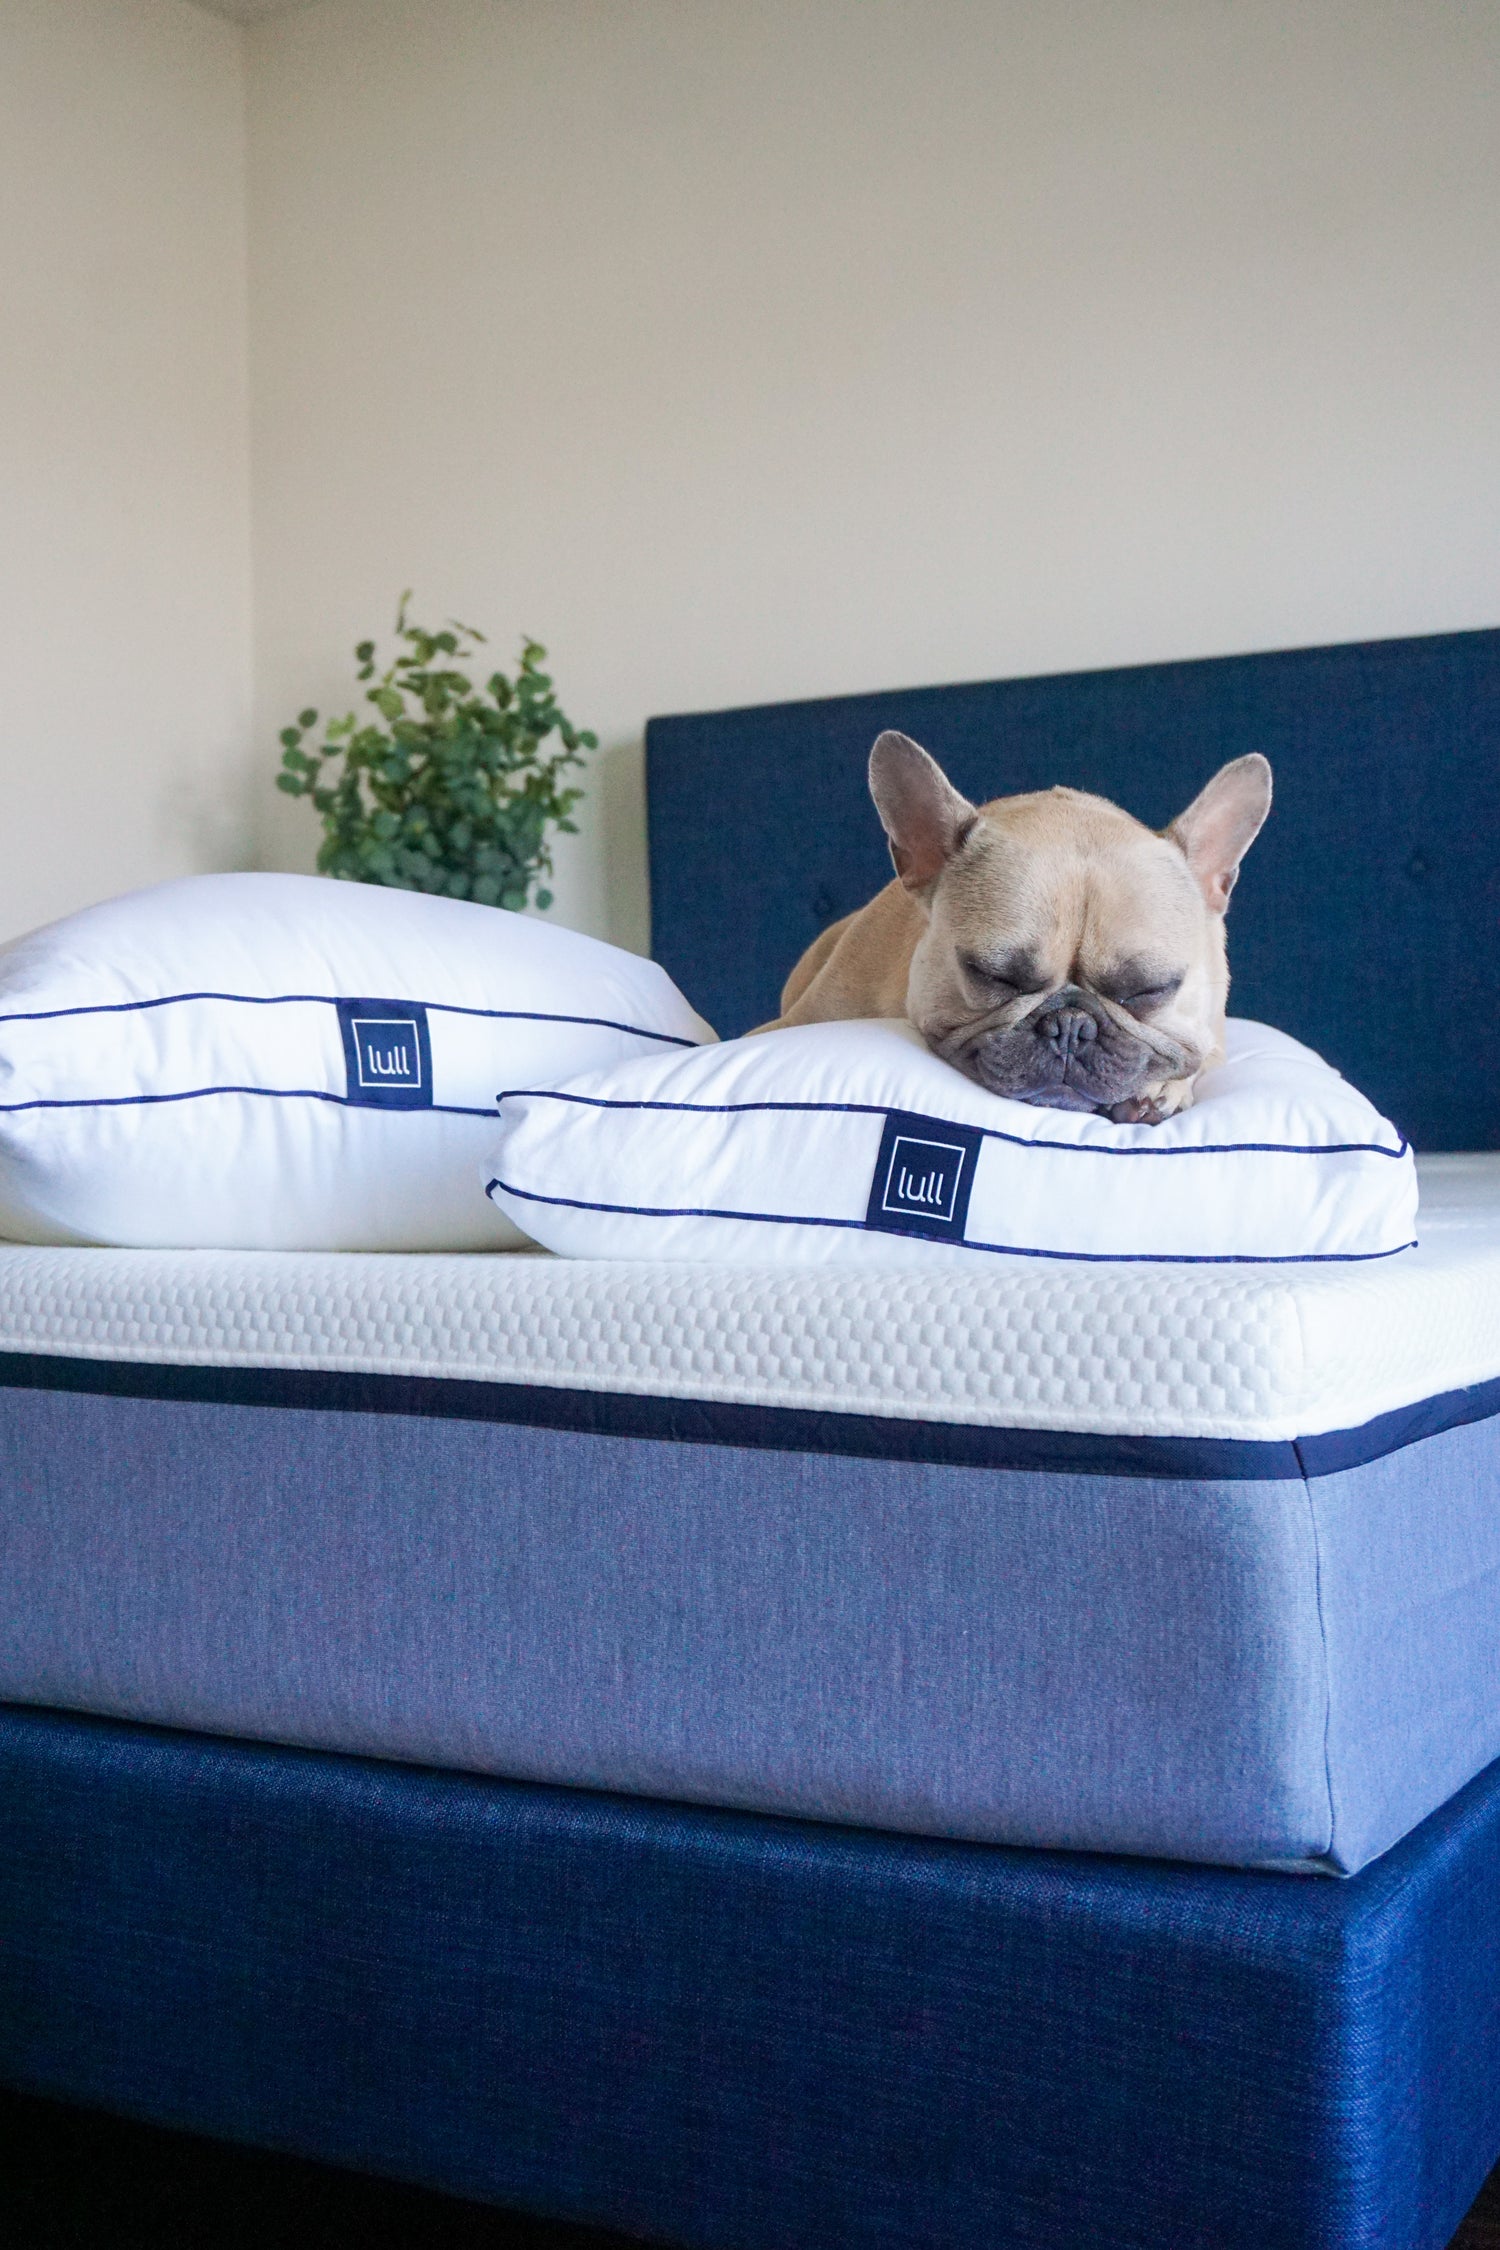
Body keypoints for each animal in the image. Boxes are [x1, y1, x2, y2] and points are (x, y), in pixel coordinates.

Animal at [769, 733, 1277, 1125]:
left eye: (1148, 990)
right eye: (993, 976)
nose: (1071, 1027)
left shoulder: (1214, 1038)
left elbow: (1200, 1057)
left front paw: (1162, 1089)